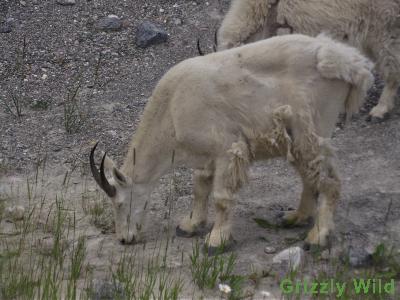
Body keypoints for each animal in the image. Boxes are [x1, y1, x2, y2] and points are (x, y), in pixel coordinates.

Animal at [89, 33, 374, 253]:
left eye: (120, 203)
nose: (124, 239)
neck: (172, 108)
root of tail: (349, 63)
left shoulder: (227, 148)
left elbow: (221, 197)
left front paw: (216, 241)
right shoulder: (204, 155)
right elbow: (200, 188)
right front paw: (190, 225)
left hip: (313, 127)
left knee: (328, 181)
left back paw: (317, 237)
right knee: (309, 177)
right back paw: (295, 217)